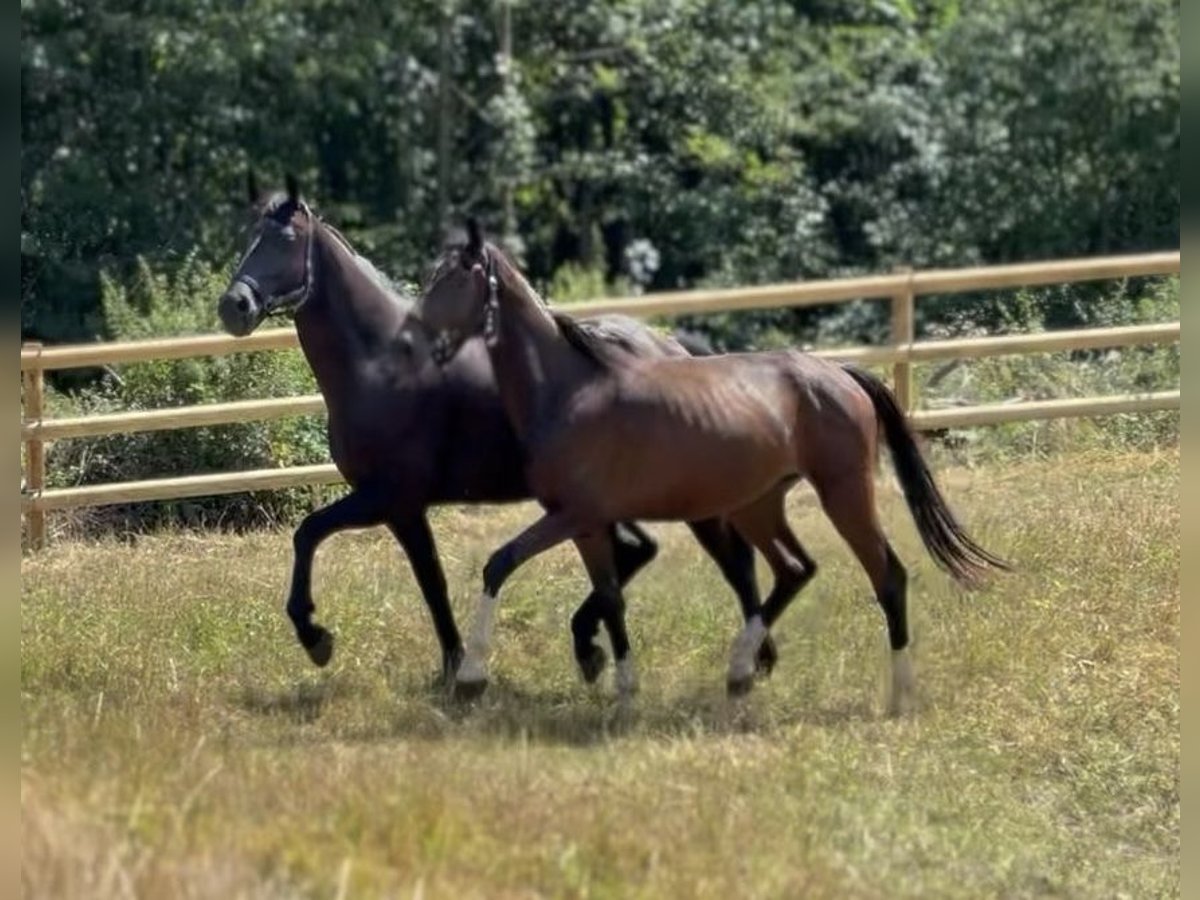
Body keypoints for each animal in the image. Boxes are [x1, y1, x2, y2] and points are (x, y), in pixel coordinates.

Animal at [216, 177, 777, 696]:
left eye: (287, 238)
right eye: (248, 236)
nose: (234, 306)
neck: (382, 361)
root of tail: (673, 348)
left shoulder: (390, 497)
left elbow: (318, 536)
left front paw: (318, 638)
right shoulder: (399, 507)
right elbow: (425, 580)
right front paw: (450, 665)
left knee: (732, 564)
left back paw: (748, 658)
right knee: (647, 552)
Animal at [417, 222, 1008, 715]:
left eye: (454, 275)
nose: (413, 330)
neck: (570, 392)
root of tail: (839, 374)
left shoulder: (573, 515)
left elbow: (500, 564)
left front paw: (472, 677)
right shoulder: (586, 523)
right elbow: (610, 598)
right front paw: (623, 685)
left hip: (842, 494)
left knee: (887, 576)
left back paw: (898, 695)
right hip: (757, 506)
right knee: (793, 570)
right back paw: (741, 669)